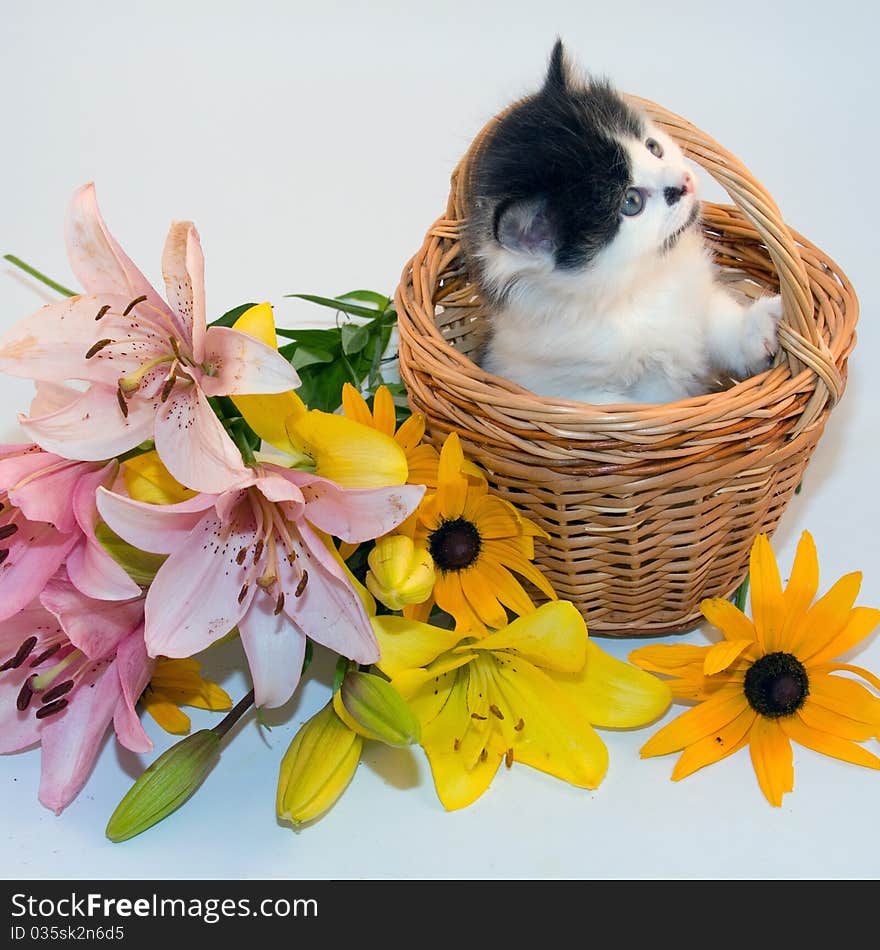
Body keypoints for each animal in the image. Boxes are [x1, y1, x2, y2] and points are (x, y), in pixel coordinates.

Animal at [464, 40, 780, 406]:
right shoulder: (572, 392)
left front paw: (761, 328)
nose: (685, 182)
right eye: (631, 202)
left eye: (653, 147)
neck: (639, 288)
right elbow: (631, 409)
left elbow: (719, 323)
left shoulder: (694, 301)